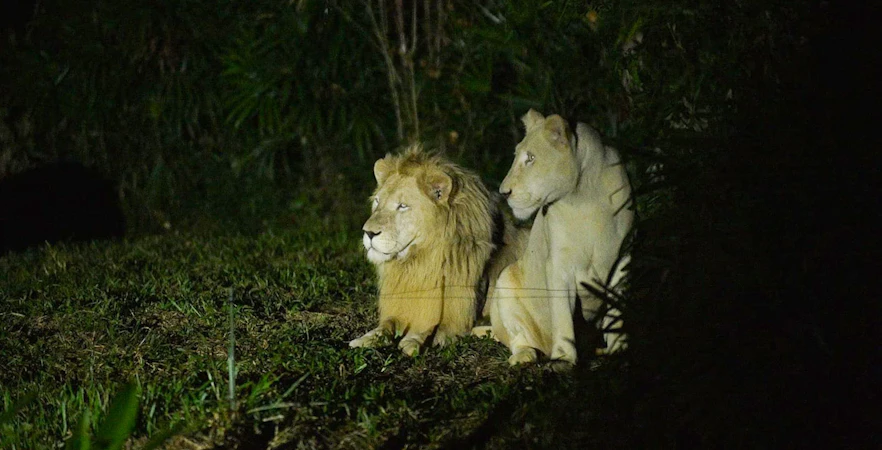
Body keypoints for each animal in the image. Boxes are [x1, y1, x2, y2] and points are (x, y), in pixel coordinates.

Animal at [350, 145, 526, 356]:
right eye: (377, 201)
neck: (419, 263)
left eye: (403, 206)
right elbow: (385, 325)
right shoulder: (400, 308)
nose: (368, 232)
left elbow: (429, 328)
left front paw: (413, 341)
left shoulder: (457, 320)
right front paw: (364, 339)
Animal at [475, 109, 634, 367]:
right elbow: (562, 316)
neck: (586, 196)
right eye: (518, 156)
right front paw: (564, 359)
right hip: (505, 282)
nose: (503, 192)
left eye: (530, 158)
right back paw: (525, 355)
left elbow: (616, 312)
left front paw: (619, 350)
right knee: (517, 338)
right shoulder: (558, 265)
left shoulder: (623, 259)